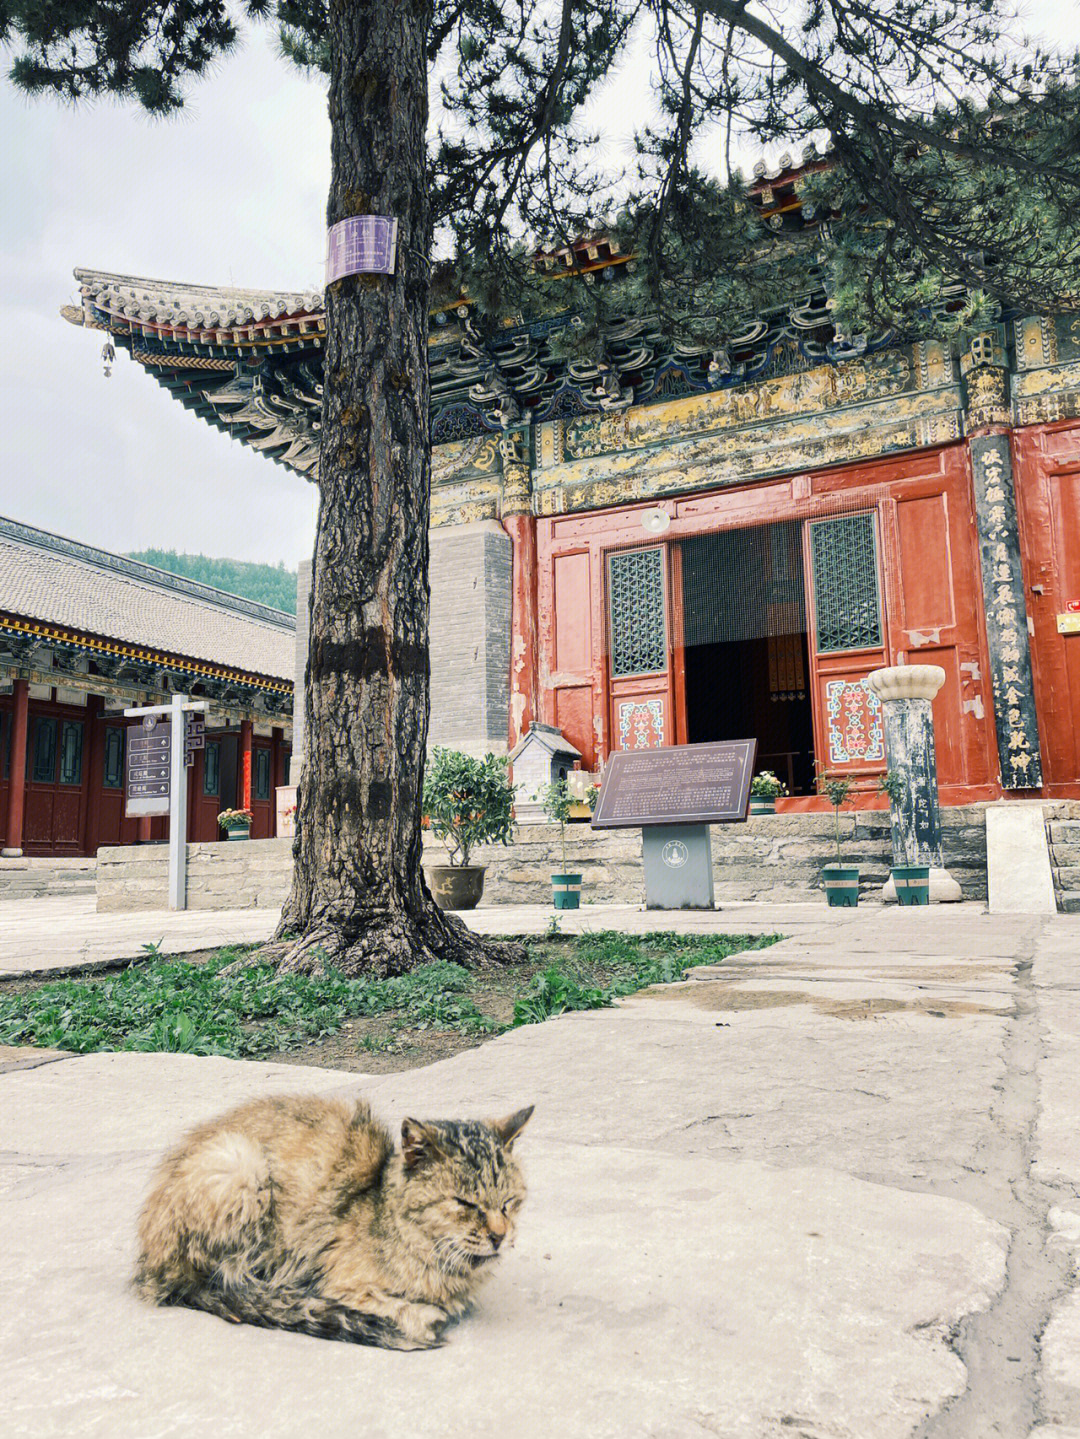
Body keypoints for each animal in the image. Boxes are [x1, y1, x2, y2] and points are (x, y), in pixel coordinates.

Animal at [137, 1093, 534, 1352]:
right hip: (240, 1166)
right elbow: (386, 1302)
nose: (500, 1236)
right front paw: (421, 1315)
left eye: (508, 1203)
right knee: (229, 1284)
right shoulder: (340, 1284)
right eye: (464, 1203)